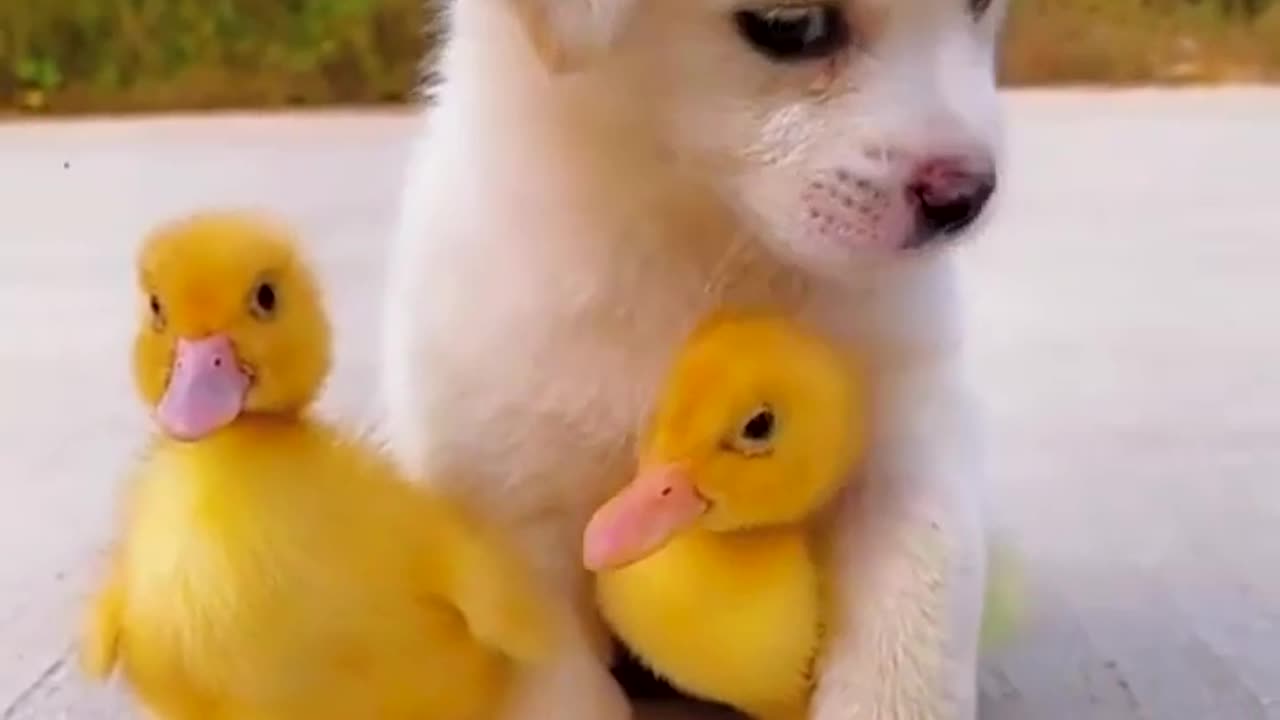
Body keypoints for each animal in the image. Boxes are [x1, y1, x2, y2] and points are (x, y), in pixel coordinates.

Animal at [384, 2, 1003, 712]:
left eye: (982, 6)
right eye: (790, 26)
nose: (966, 198)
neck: (699, 246)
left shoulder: (908, 455)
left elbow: (911, 623)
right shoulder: (509, 514)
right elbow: (560, 683)